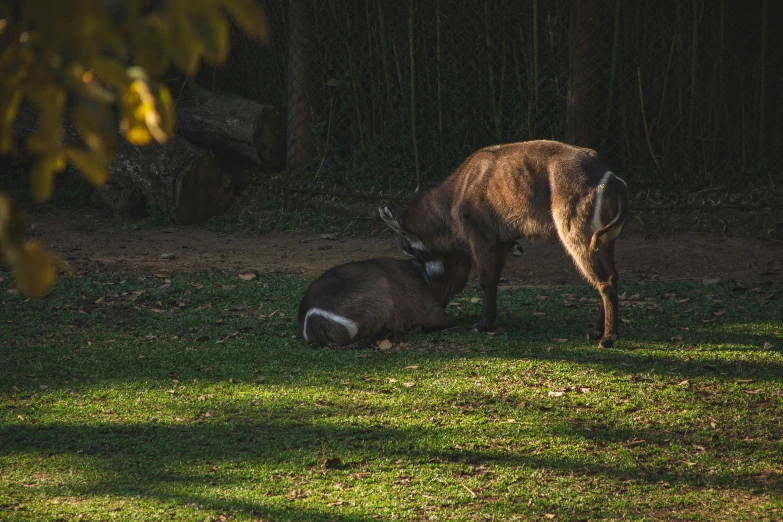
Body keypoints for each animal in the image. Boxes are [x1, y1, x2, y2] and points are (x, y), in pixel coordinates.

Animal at [380, 140, 632, 348]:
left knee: (604, 281)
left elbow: (485, 281)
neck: (457, 192)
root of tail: (611, 177)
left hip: (579, 237)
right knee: (612, 277)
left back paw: (607, 337)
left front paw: (482, 324)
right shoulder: (501, 244)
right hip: (604, 242)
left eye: (406, 248)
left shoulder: (481, 239)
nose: (429, 276)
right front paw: (489, 320)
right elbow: (493, 282)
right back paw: (597, 330)